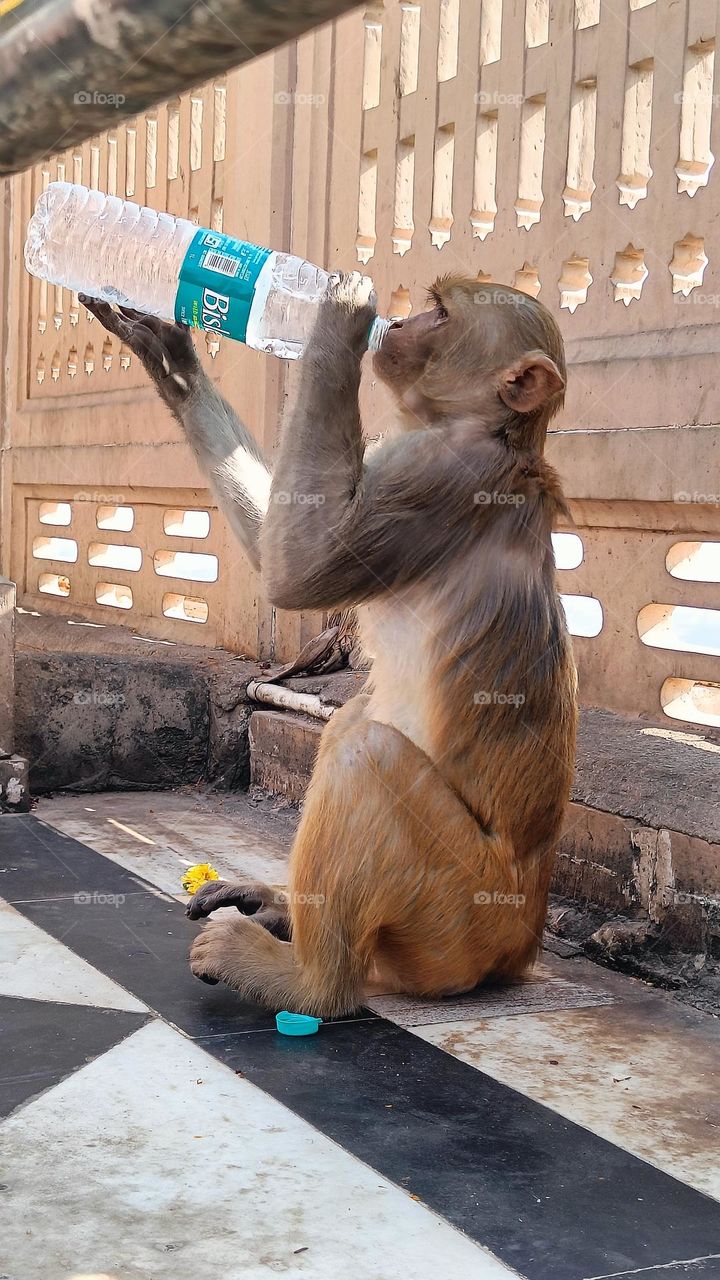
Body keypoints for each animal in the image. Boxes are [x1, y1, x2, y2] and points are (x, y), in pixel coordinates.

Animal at [81, 273, 577, 1016]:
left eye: (440, 313)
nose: (398, 326)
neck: (487, 429)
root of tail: (520, 950)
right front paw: (174, 362)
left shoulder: (437, 472)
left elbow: (303, 571)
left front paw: (336, 314)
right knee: (352, 725)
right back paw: (282, 908)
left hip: (458, 916)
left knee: (363, 752)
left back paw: (309, 982)